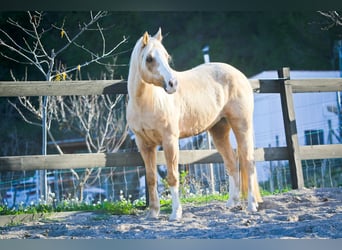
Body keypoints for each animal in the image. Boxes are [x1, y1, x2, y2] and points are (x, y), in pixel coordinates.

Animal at [127, 28, 264, 221]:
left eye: (167, 57)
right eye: (149, 58)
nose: (172, 84)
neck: (147, 102)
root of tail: (239, 75)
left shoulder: (170, 141)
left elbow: (172, 177)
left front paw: (175, 213)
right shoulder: (144, 145)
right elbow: (151, 178)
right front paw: (153, 213)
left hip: (242, 126)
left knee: (247, 162)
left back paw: (251, 205)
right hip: (219, 131)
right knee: (231, 163)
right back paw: (231, 203)